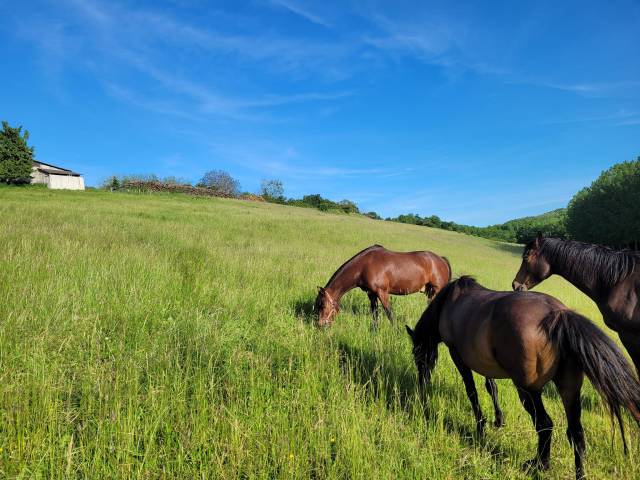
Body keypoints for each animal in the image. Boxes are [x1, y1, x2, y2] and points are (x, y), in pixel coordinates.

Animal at [316, 246, 450, 328]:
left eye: (323, 305)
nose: (320, 325)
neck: (364, 266)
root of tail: (441, 259)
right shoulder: (371, 294)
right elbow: (375, 313)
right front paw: (374, 331)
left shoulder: (382, 292)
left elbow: (389, 313)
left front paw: (396, 331)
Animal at [404, 276, 640, 478]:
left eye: (417, 353)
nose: (422, 385)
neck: (449, 303)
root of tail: (558, 316)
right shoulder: (484, 362)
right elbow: (491, 387)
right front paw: (498, 420)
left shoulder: (458, 356)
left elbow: (472, 391)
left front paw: (481, 426)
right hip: (570, 391)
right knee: (576, 434)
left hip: (529, 390)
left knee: (545, 424)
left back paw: (539, 465)